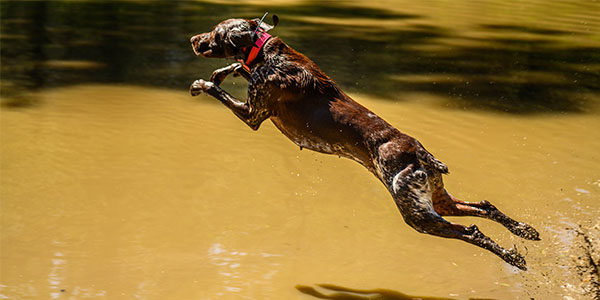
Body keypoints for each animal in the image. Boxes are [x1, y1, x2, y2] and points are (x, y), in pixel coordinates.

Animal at [189, 15, 540, 270]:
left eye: (214, 32)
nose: (193, 39)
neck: (263, 51)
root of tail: (418, 151)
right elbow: (236, 68)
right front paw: (226, 70)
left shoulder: (252, 114)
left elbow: (217, 87)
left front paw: (202, 82)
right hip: (437, 200)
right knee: (485, 206)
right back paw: (526, 231)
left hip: (417, 214)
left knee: (472, 231)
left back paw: (513, 257)